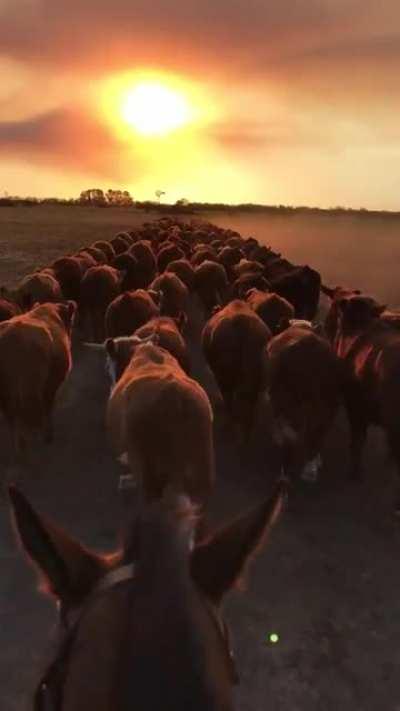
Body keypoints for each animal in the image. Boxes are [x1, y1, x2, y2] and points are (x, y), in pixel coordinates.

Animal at [0, 301, 76, 470]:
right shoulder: (49, 386)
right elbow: (48, 406)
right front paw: (48, 435)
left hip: (7, 393)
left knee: (12, 417)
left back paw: (19, 449)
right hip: (29, 389)